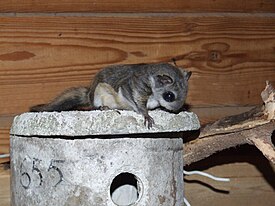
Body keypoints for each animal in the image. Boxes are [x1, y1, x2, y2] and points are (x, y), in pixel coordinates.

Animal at [30, 62, 193, 128]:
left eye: (185, 93)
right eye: (169, 96)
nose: (176, 110)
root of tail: (89, 93)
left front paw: (159, 109)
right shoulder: (134, 87)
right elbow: (137, 103)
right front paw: (146, 115)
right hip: (98, 94)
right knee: (93, 107)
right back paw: (103, 108)